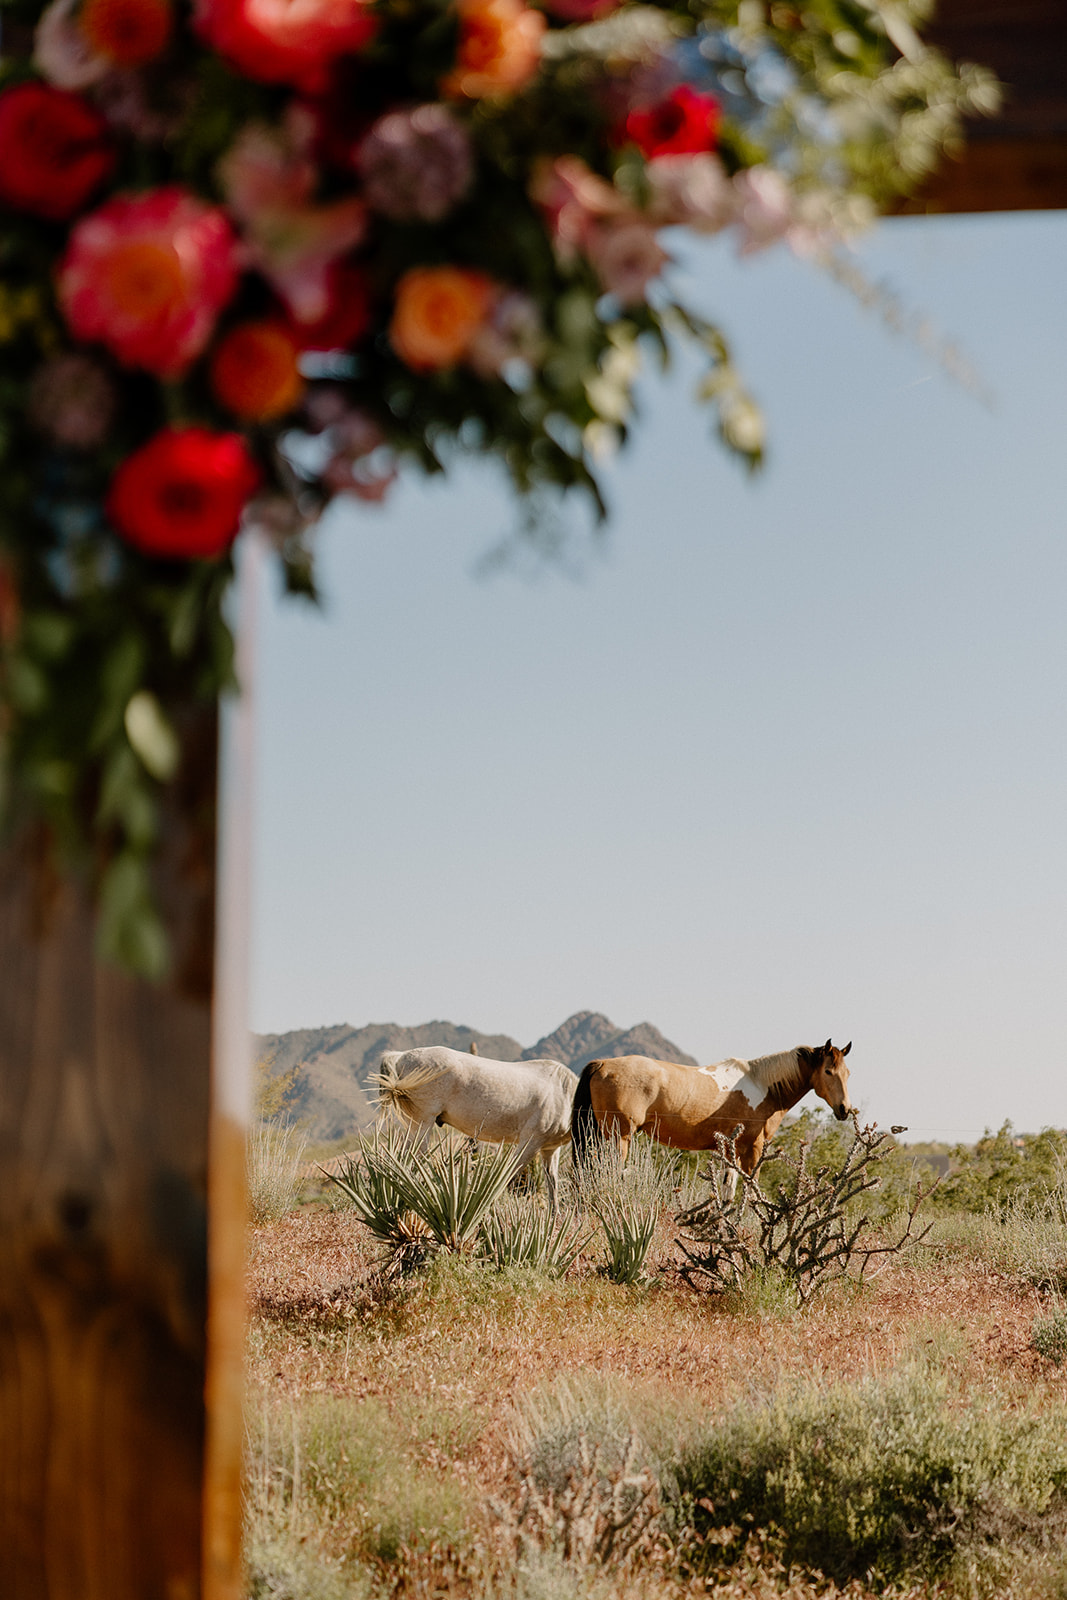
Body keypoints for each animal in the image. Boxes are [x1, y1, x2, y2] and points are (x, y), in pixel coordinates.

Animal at [374, 1049, 579, 1209]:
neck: (563, 1091)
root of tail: (401, 1056)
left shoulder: (550, 1149)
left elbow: (552, 1184)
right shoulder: (530, 1142)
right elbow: (508, 1175)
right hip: (423, 1123)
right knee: (413, 1158)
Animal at [572, 1043, 857, 1184]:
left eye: (847, 1073)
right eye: (828, 1071)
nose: (844, 1109)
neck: (762, 1084)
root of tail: (603, 1064)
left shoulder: (732, 1149)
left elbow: (729, 1186)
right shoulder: (752, 1148)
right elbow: (750, 1184)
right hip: (618, 1137)